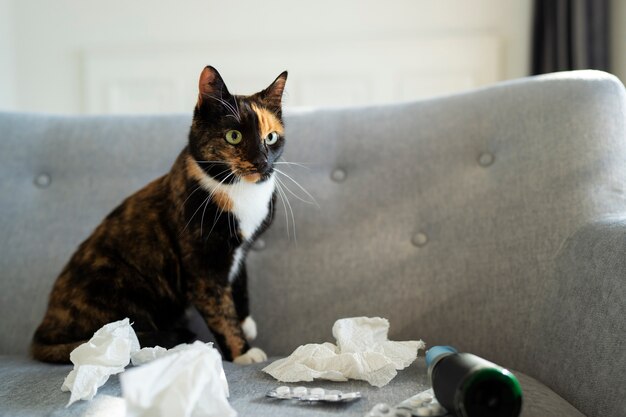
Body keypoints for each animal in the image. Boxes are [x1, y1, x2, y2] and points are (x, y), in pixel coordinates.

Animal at [30, 66, 286, 364]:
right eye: (234, 136)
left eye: (271, 137)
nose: (261, 162)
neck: (238, 191)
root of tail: (43, 330)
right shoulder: (203, 269)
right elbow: (221, 311)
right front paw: (242, 352)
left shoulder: (240, 251)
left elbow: (240, 282)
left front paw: (246, 322)